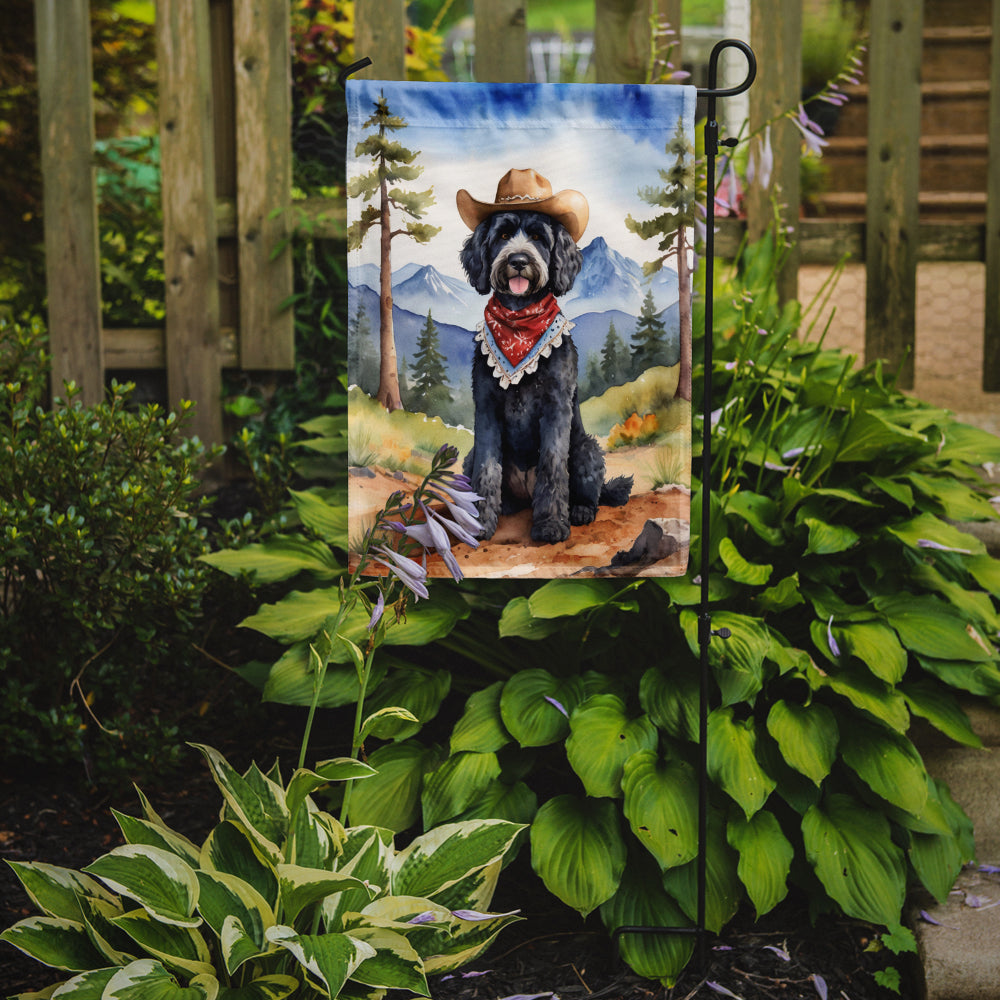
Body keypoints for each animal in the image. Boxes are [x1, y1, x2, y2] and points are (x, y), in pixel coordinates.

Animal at [458, 206, 628, 544]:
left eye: (538, 237)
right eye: (503, 235)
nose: (518, 260)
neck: (519, 324)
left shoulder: (556, 407)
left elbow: (552, 464)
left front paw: (550, 525)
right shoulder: (486, 408)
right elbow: (487, 467)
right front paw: (480, 523)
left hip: (587, 448)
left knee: (592, 493)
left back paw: (580, 510)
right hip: (468, 458)